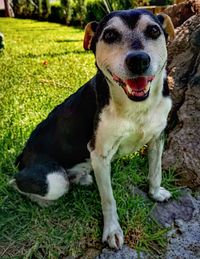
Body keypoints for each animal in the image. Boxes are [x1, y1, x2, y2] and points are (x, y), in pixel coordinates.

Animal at [10, 9, 174, 250]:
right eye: (110, 35)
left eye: (154, 31)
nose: (139, 60)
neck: (136, 106)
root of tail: (23, 156)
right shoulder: (99, 154)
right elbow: (108, 199)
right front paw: (112, 231)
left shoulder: (157, 138)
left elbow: (156, 171)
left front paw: (155, 193)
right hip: (53, 180)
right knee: (18, 183)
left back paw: (83, 178)